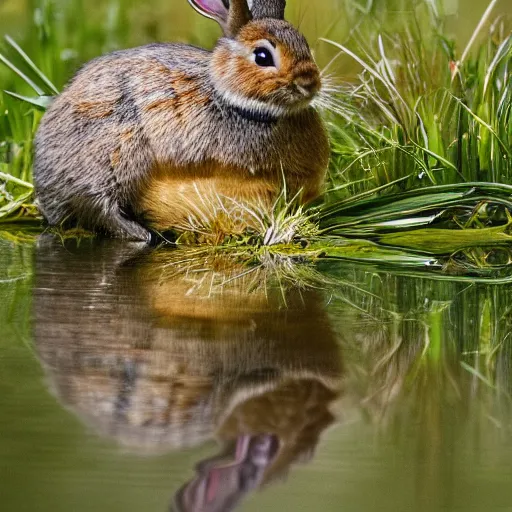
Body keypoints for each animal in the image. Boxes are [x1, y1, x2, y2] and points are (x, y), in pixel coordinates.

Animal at [34, 0, 330, 241]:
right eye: (262, 56)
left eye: (305, 45)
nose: (309, 84)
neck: (229, 98)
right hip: (114, 158)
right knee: (100, 208)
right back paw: (142, 233)